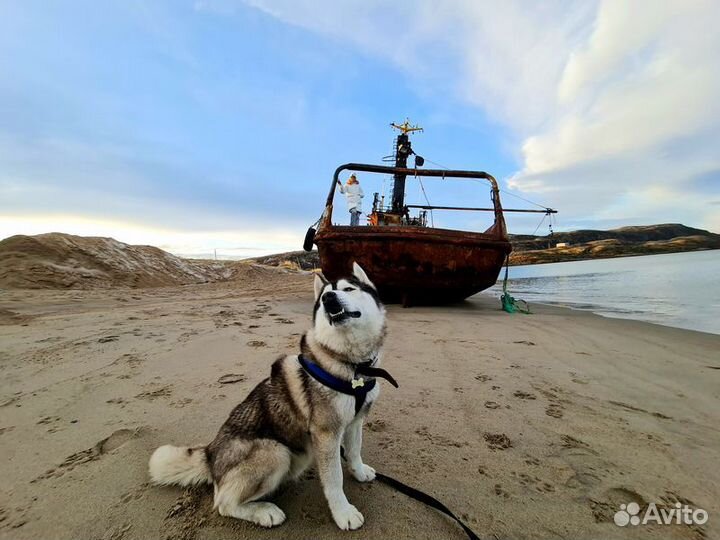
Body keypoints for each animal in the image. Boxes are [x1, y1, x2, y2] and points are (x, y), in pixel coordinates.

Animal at [148, 264, 394, 528]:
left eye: (348, 289)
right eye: (323, 297)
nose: (329, 298)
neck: (353, 365)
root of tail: (210, 453)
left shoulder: (356, 421)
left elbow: (355, 450)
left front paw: (359, 472)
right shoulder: (326, 434)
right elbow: (334, 478)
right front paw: (343, 512)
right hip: (277, 452)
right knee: (223, 503)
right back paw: (264, 511)